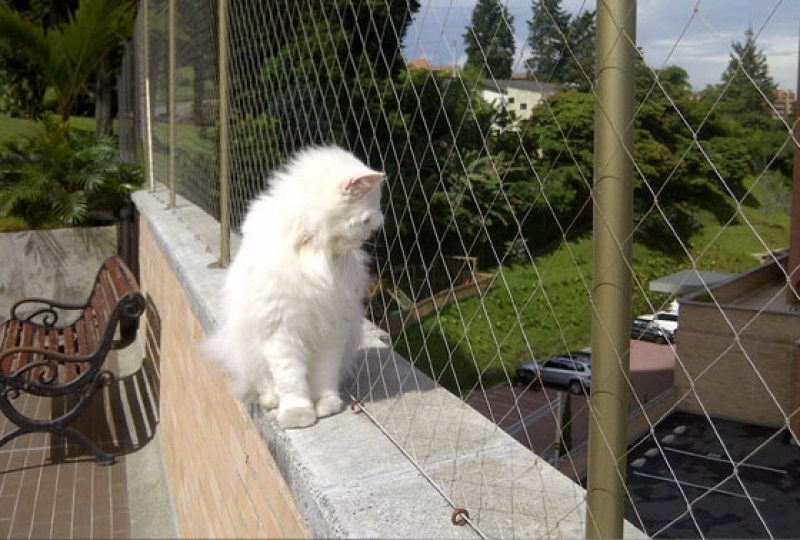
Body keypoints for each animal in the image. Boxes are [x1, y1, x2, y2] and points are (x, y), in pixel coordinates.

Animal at [205, 146, 382, 428]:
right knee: (265, 383)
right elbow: (291, 381)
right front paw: (298, 415)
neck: (315, 254)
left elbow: (324, 377)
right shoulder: (282, 331)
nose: (365, 239)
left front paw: (326, 405)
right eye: (366, 222)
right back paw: (271, 400)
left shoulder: (333, 329)